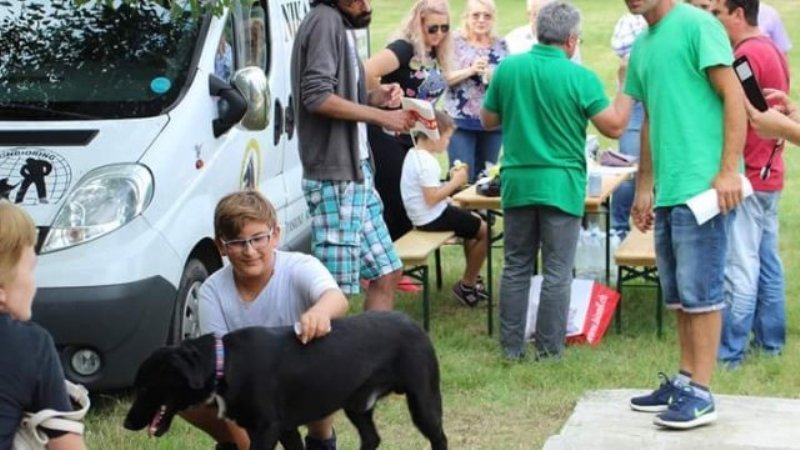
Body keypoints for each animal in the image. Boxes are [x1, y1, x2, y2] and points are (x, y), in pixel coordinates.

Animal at [128, 312, 446, 450]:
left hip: (423, 401)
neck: (224, 363)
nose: (127, 424)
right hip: (356, 406)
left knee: (438, 437)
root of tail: (414, 323)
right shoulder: (283, 428)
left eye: (146, 387)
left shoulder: (268, 428)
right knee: (371, 438)